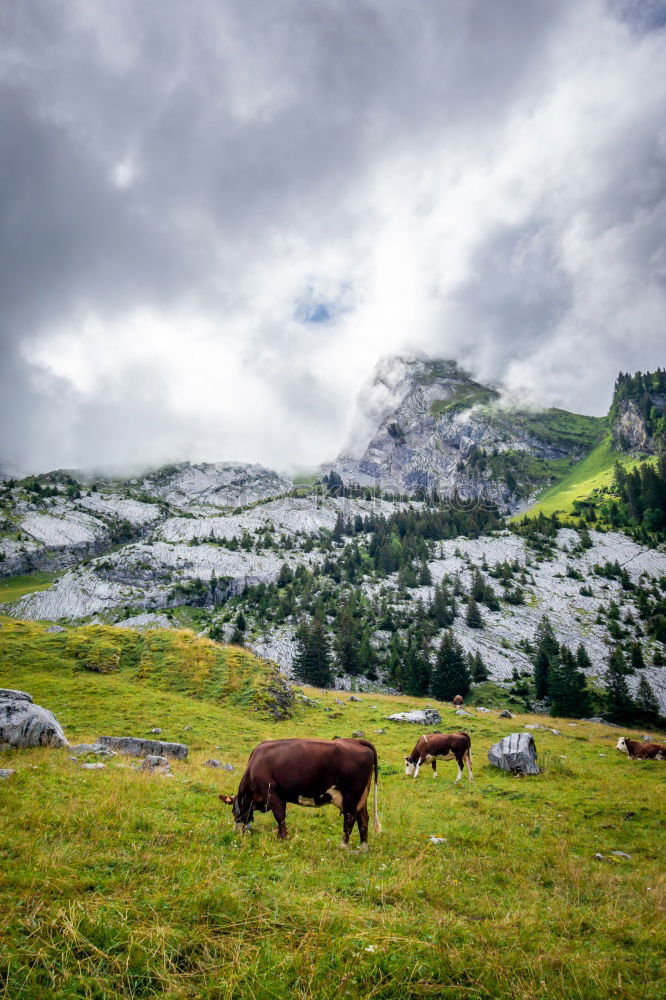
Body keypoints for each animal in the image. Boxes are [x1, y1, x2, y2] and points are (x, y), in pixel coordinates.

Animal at [220, 736, 378, 852]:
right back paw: (363, 849)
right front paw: (281, 837)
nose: (236, 832)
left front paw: (282, 839)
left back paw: (342, 846)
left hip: (351, 796)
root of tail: (356, 741)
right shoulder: (281, 797)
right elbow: (282, 816)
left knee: (350, 819)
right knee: (363, 819)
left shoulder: (271, 793)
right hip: (361, 798)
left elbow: (280, 817)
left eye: (234, 811)